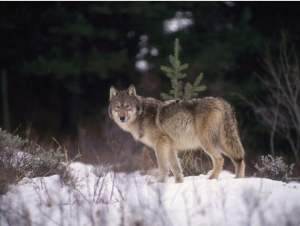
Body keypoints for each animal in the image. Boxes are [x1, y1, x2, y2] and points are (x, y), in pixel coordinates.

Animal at [109, 84, 245, 182]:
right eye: (117, 107)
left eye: (127, 106)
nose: (122, 118)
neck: (142, 114)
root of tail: (221, 101)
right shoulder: (170, 147)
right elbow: (176, 169)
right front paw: (178, 183)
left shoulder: (160, 143)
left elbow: (163, 166)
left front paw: (159, 182)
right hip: (222, 142)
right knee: (239, 159)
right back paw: (238, 180)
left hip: (207, 143)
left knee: (220, 159)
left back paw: (211, 179)